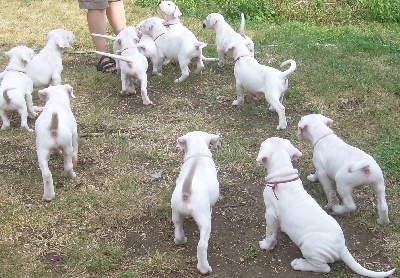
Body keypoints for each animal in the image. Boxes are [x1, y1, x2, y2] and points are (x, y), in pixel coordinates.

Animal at [170, 131, 220, 274]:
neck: (198, 152)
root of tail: (187, 191)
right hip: (204, 220)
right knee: (202, 245)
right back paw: (204, 268)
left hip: (176, 211)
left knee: (178, 228)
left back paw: (181, 240)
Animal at [256, 136, 396, 276]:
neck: (282, 176)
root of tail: (341, 248)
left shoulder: (270, 214)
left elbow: (270, 233)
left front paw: (266, 245)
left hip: (309, 247)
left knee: (324, 268)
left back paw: (299, 264)